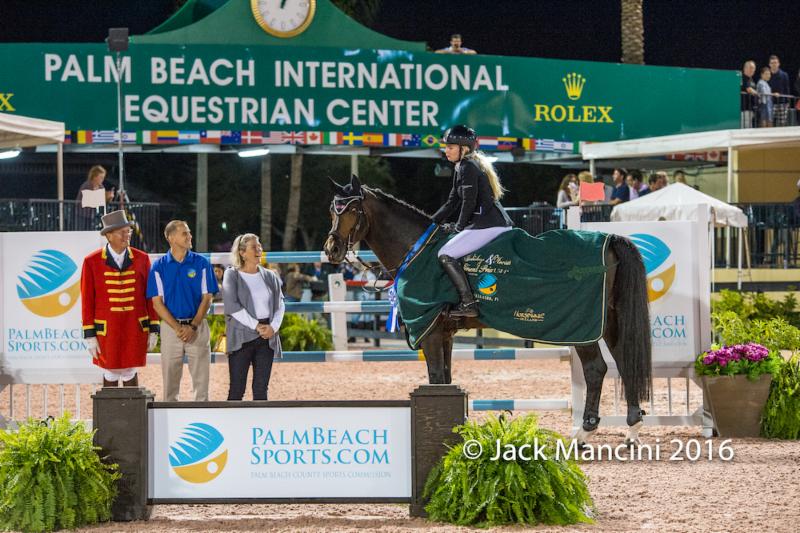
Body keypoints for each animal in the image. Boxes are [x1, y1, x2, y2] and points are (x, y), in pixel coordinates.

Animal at [322, 177, 652, 442]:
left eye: (352, 211)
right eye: (331, 210)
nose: (331, 250)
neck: (416, 250)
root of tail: (610, 239)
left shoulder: (430, 331)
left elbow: (436, 378)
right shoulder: (445, 333)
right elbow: (446, 378)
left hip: (582, 325)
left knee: (596, 369)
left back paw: (584, 433)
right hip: (609, 320)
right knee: (624, 361)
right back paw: (632, 427)